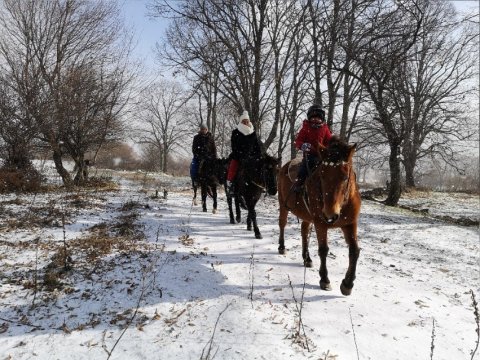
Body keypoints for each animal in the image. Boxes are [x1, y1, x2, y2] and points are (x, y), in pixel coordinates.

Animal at [278, 137, 360, 296]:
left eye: (345, 177)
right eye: (322, 175)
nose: (330, 214)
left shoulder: (350, 224)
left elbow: (354, 250)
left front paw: (348, 284)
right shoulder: (320, 224)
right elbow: (323, 250)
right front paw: (325, 279)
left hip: (306, 216)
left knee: (304, 231)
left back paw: (307, 258)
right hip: (283, 205)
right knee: (282, 224)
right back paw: (282, 247)